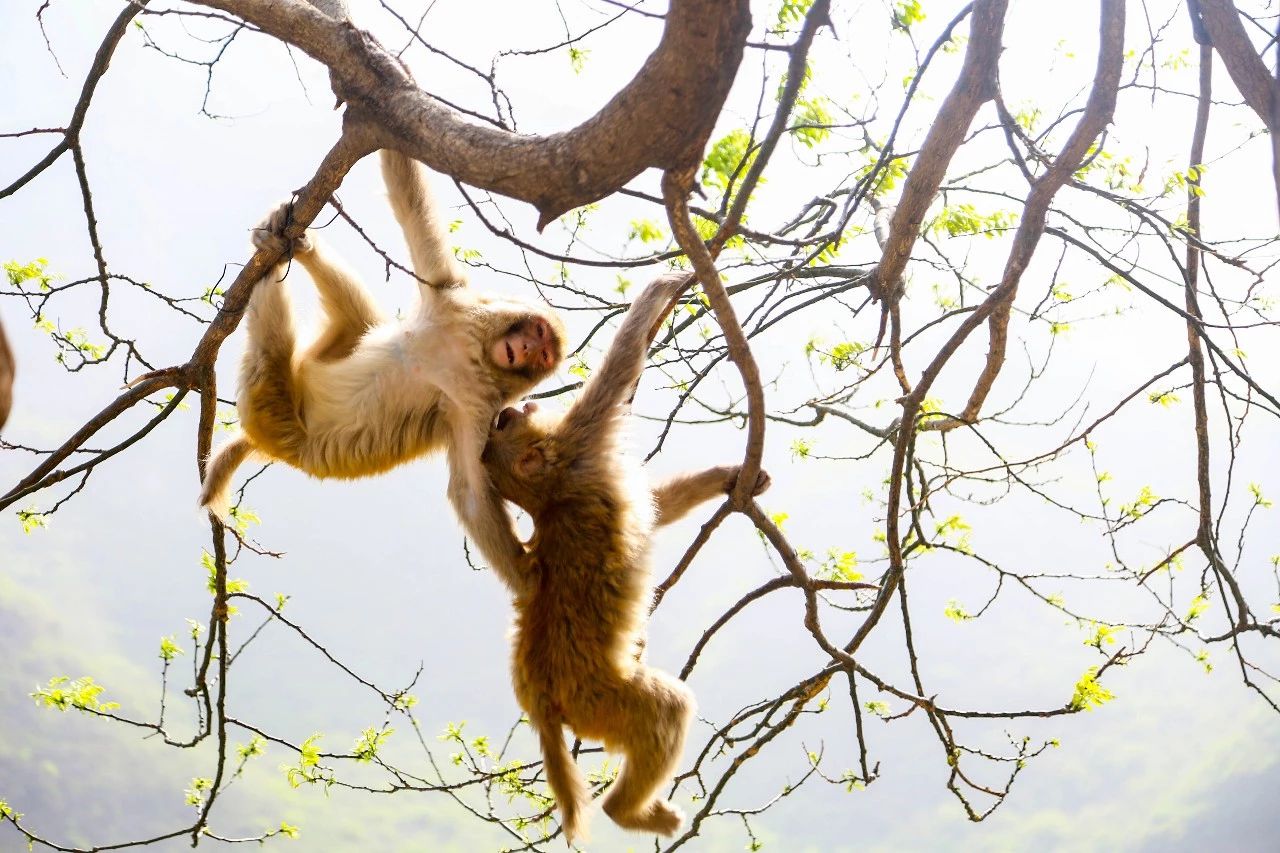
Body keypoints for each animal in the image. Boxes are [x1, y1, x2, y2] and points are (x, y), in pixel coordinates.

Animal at [198, 148, 560, 548]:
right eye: (537, 334)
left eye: (543, 355)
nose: (526, 347)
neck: (471, 355)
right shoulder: (452, 300)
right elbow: (408, 195)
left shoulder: (478, 408)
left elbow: (471, 497)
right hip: (319, 360)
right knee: (357, 321)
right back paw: (293, 246)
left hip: (273, 414)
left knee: (273, 347)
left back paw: (273, 265)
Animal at [481, 275, 768, 840]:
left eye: (503, 422)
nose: (515, 407)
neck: (550, 493)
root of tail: (540, 693)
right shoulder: (581, 439)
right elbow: (617, 372)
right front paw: (664, 284)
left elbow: (653, 511)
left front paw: (728, 478)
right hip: (603, 703)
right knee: (666, 709)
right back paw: (629, 810)